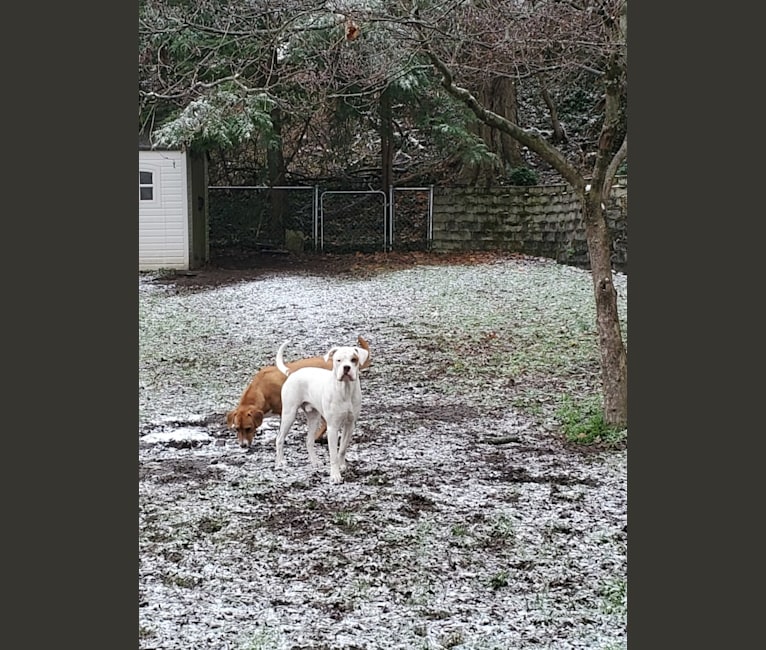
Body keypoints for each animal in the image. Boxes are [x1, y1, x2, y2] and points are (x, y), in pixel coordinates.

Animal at [276, 340, 372, 480]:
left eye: (354, 360)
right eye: (338, 360)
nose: (346, 368)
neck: (345, 390)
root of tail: (292, 372)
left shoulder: (350, 425)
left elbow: (342, 449)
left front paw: (342, 466)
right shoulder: (332, 427)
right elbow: (333, 454)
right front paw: (335, 475)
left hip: (314, 417)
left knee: (309, 441)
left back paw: (315, 462)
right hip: (289, 414)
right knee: (279, 439)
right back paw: (280, 462)